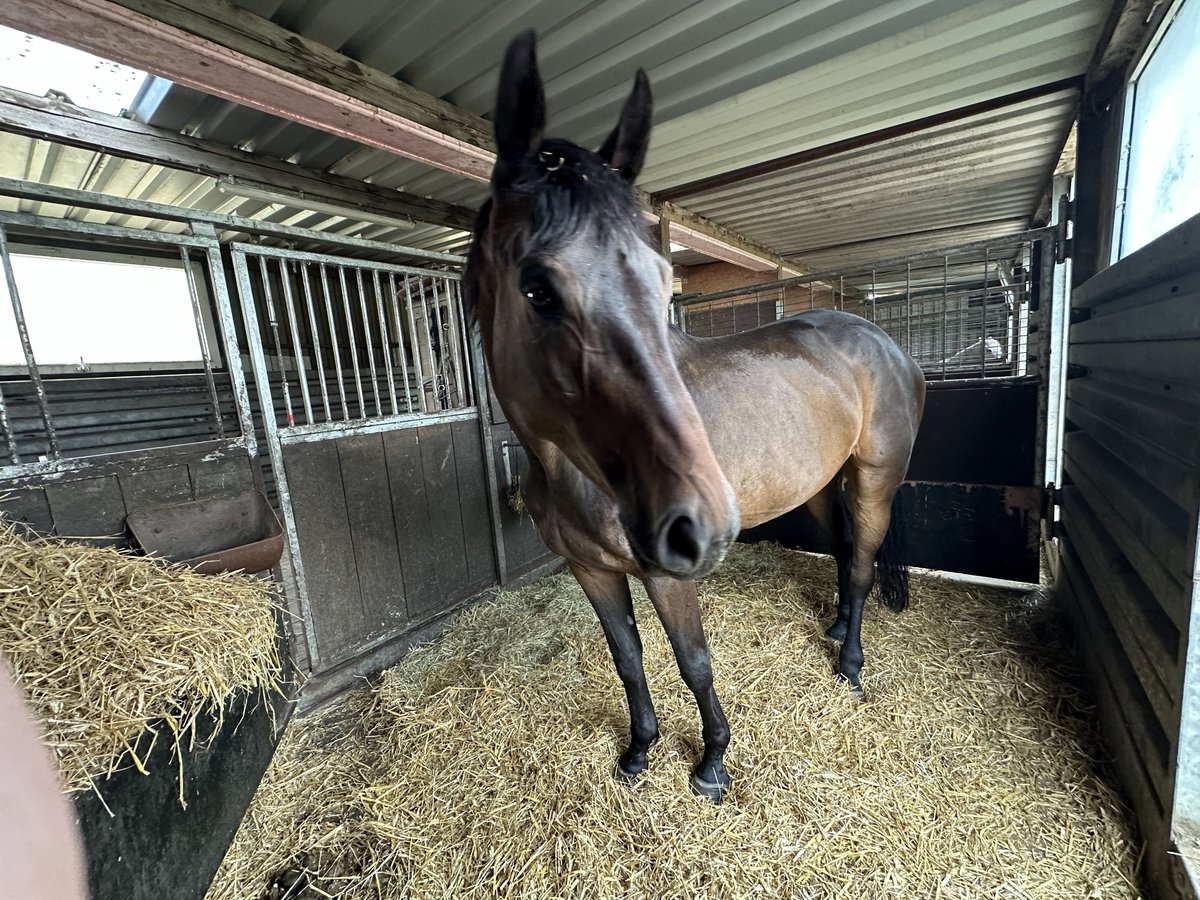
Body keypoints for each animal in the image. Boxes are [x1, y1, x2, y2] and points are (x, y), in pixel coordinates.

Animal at [460, 31, 926, 801]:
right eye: (538, 288)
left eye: (662, 280)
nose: (699, 519)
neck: (572, 468)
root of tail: (886, 344)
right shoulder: (591, 571)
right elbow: (628, 658)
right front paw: (638, 749)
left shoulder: (668, 573)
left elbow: (694, 661)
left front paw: (711, 762)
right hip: (820, 485)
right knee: (842, 553)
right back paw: (833, 631)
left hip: (873, 479)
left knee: (861, 564)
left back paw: (851, 665)